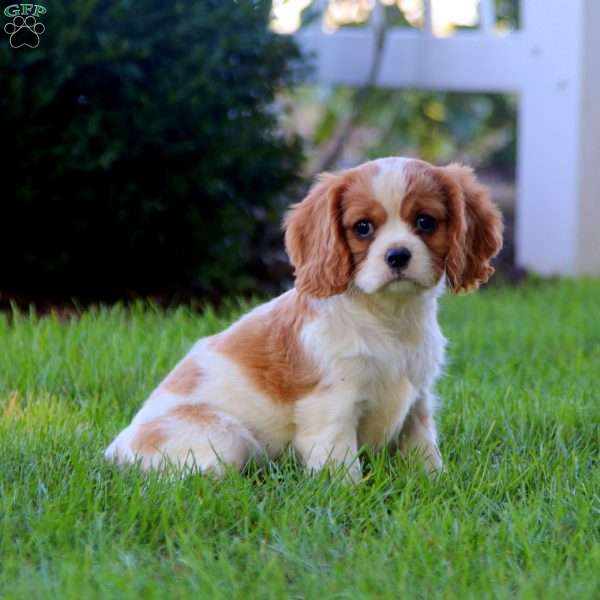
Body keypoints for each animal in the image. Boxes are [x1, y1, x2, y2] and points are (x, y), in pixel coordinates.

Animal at [105, 157, 504, 480]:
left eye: (425, 222)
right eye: (363, 227)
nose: (397, 255)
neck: (389, 316)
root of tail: (117, 449)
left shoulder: (418, 401)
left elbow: (424, 450)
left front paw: (436, 484)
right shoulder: (332, 407)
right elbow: (342, 468)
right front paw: (350, 500)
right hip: (225, 437)